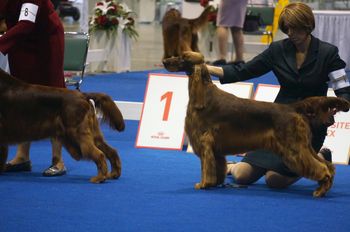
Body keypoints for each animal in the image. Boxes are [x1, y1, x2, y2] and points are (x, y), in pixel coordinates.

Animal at [163, 52, 350, 198]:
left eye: (183, 57)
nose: (164, 61)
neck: (203, 94)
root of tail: (292, 107)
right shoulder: (215, 147)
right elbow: (217, 166)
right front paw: (214, 183)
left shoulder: (204, 141)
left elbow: (206, 167)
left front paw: (203, 184)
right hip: (303, 146)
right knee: (328, 165)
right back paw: (323, 187)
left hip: (294, 148)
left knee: (320, 167)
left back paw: (320, 191)